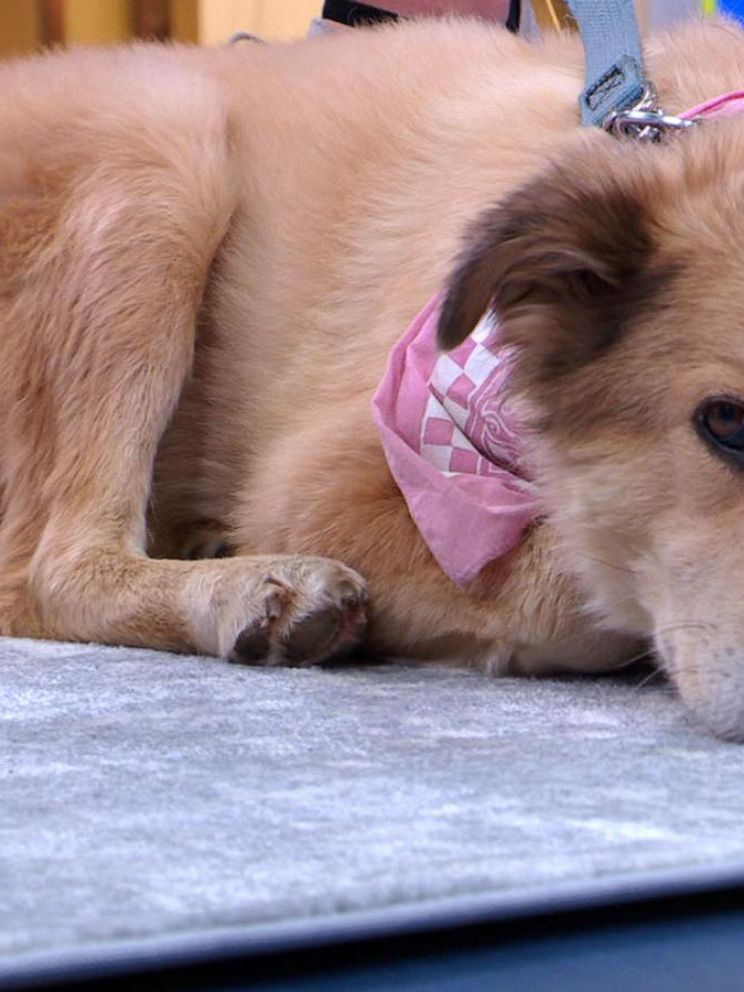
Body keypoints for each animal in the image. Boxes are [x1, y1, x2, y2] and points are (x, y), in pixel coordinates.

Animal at [1, 15, 744, 736]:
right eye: (727, 421)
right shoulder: (318, 483)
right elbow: (577, 581)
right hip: (163, 156)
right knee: (49, 573)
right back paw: (247, 585)